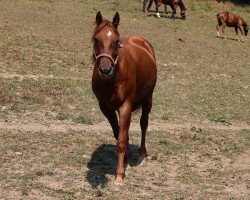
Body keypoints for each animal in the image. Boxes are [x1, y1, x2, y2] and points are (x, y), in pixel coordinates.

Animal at [91, 11, 157, 191]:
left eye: (116, 41)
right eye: (96, 39)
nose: (105, 69)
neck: (112, 80)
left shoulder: (125, 106)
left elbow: (121, 140)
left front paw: (119, 177)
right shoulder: (105, 107)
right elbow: (119, 134)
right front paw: (125, 161)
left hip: (148, 99)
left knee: (144, 124)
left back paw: (141, 154)